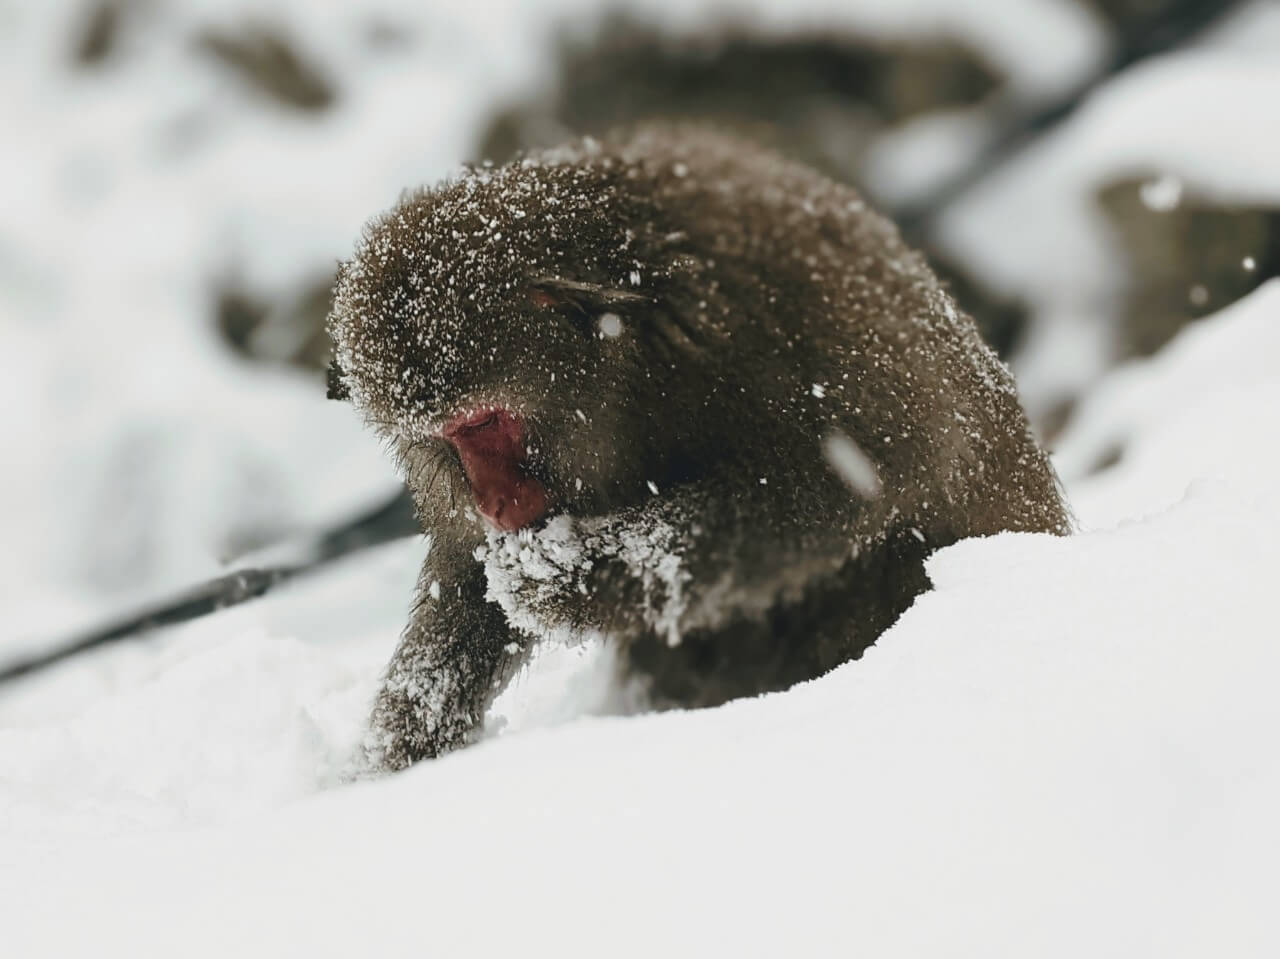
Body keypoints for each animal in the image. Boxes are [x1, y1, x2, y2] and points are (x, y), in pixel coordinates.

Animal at [330, 127, 1070, 768]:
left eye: (485, 423)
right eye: (444, 439)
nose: (493, 500)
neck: (625, 361)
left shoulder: (764, 316)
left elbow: (863, 475)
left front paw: (574, 575)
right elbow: (467, 583)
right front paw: (389, 762)